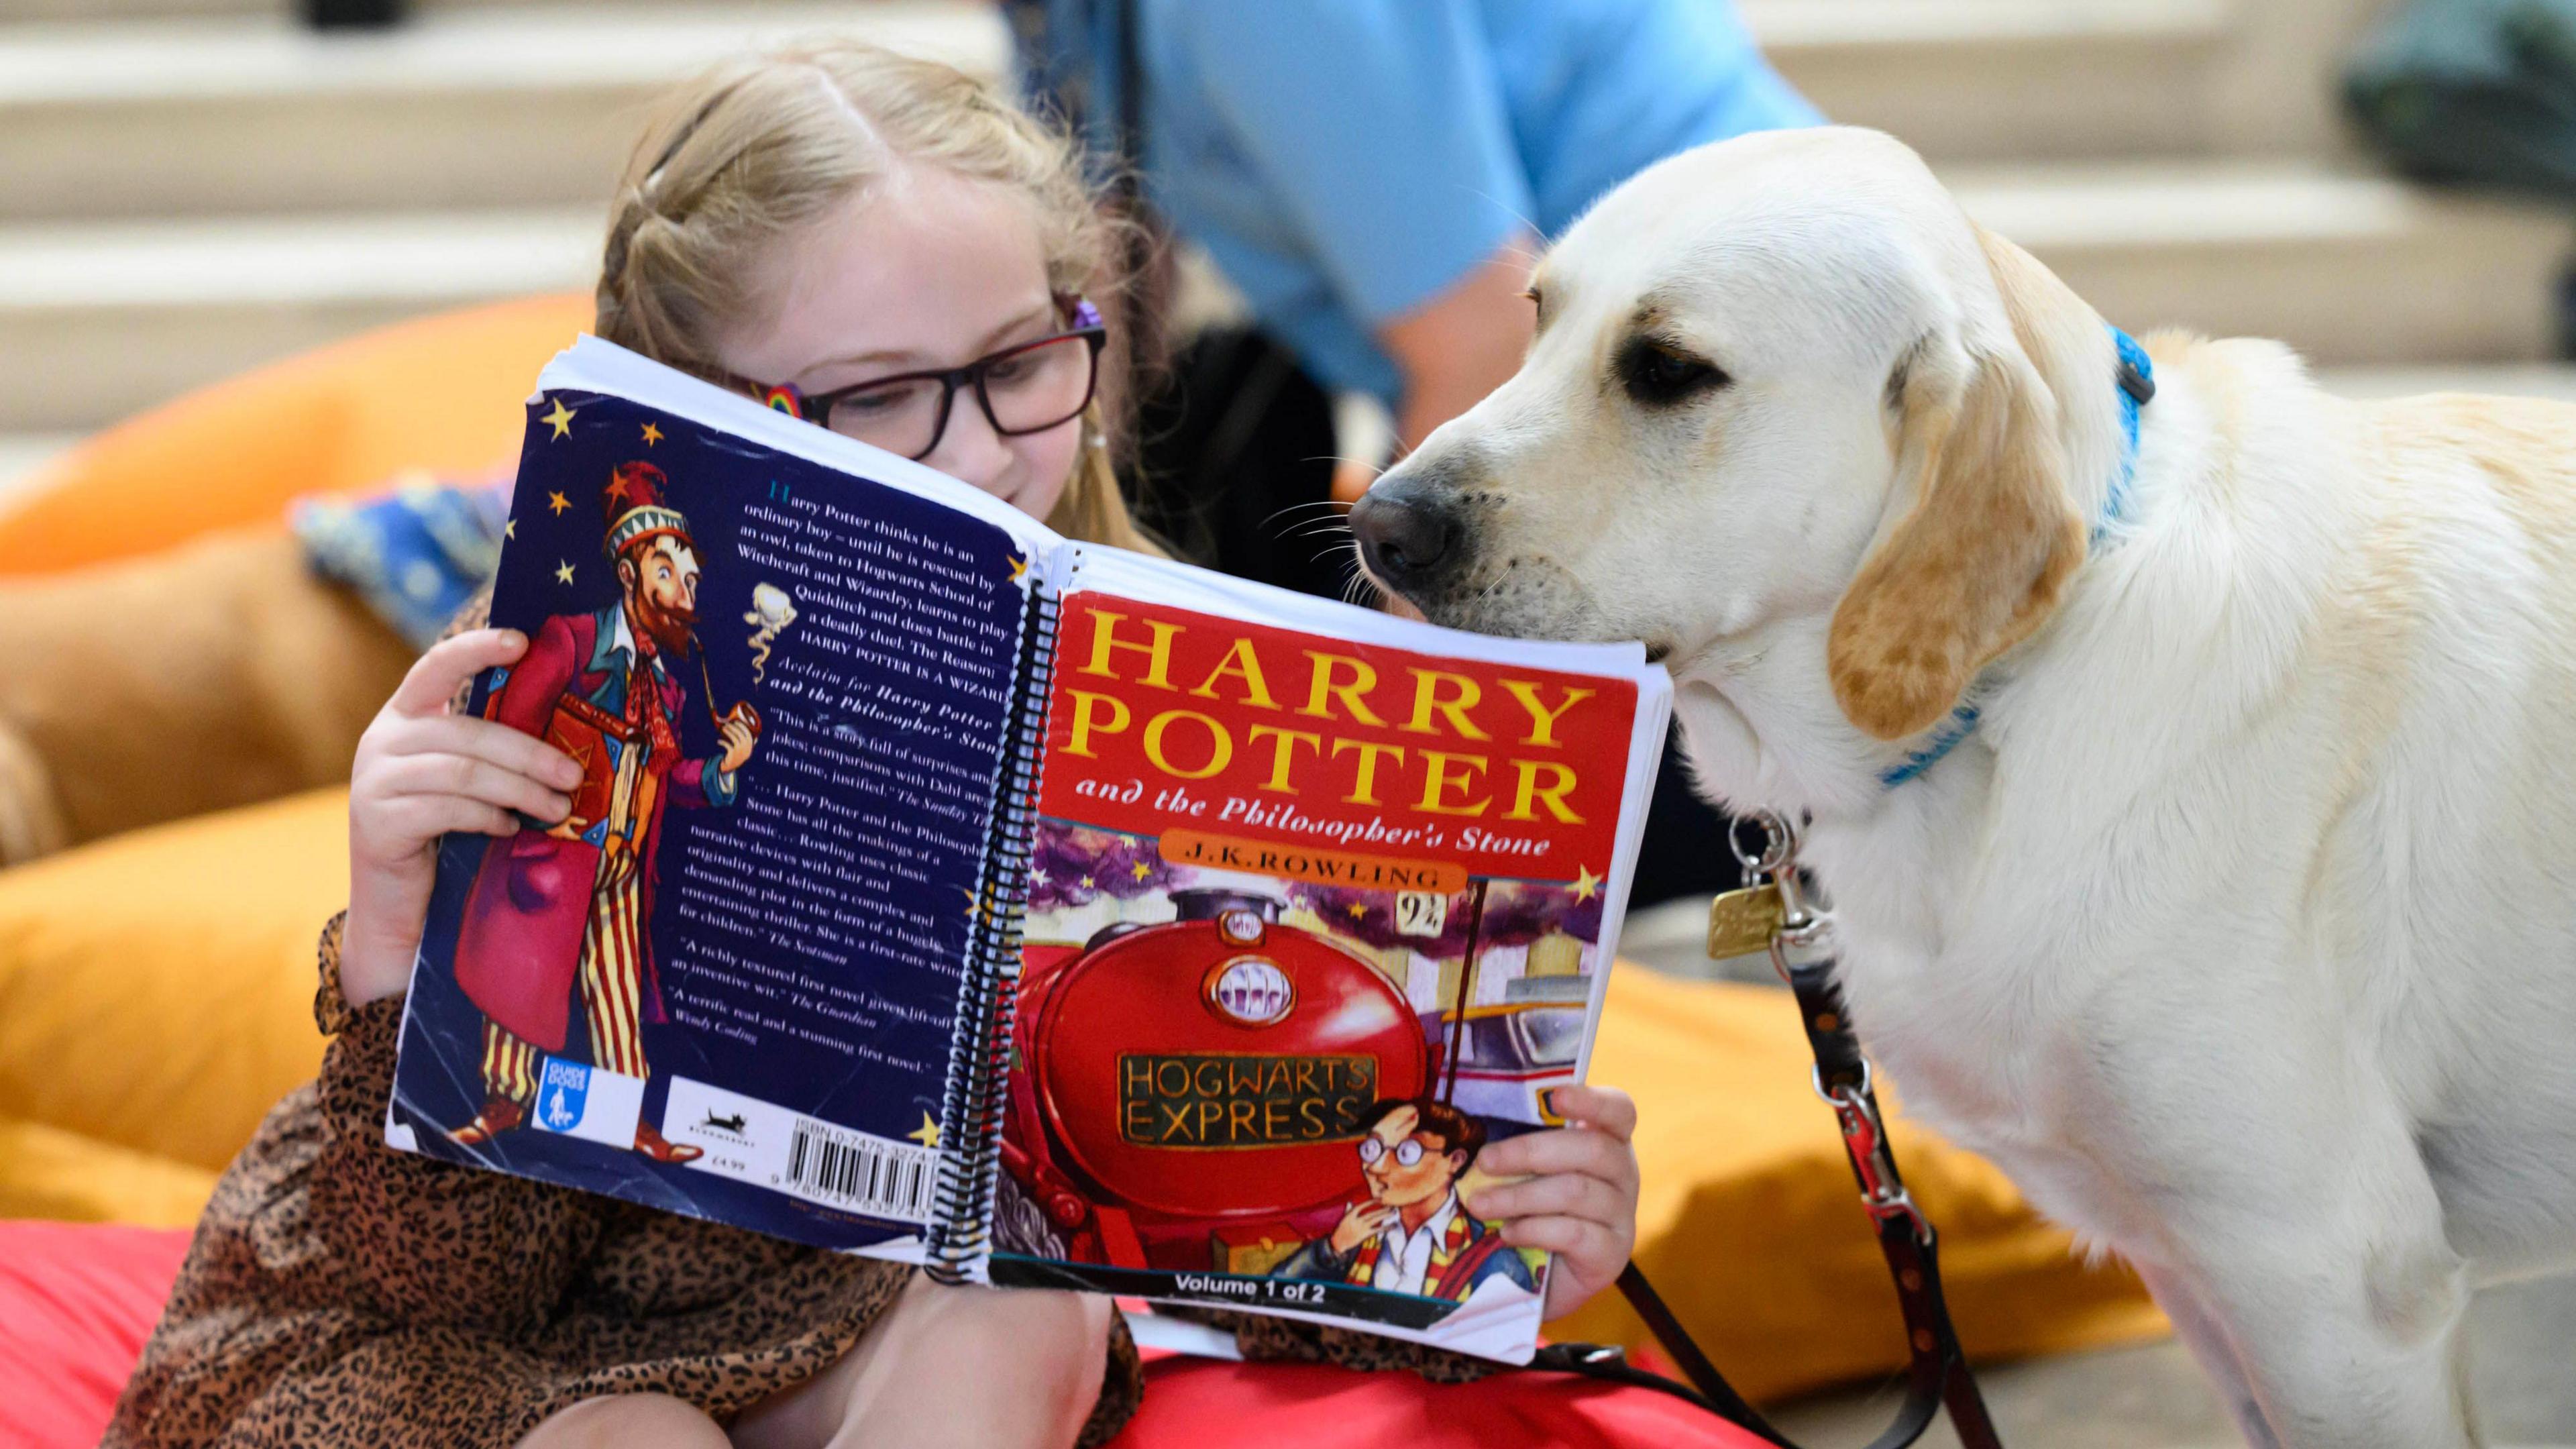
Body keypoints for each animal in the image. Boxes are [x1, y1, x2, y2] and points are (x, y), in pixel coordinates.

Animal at [1350, 127, 2576, 1444]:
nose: (1376, 526)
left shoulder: (2331, 1289)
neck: (2015, 698)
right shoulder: (2204, 1275)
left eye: (1669, 369)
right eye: (1539, 314)